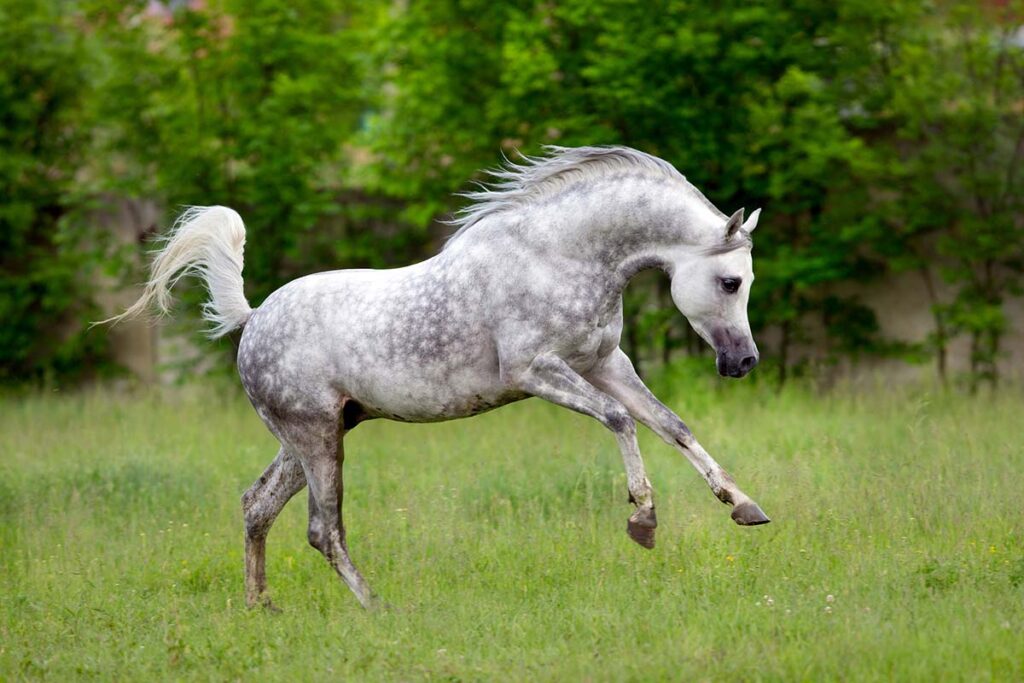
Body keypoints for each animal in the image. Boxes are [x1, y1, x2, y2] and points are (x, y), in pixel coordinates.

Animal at [108, 145, 770, 610]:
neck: (560, 256)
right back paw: (376, 608)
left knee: (256, 508)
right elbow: (621, 421)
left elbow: (671, 425)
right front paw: (643, 521)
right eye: (730, 281)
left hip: (313, 437)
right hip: (318, 439)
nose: (743, 362)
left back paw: (260, 608)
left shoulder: (604, 364)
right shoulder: (537, 371)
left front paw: (744, 506)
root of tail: (252, 319)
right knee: (324, 530)